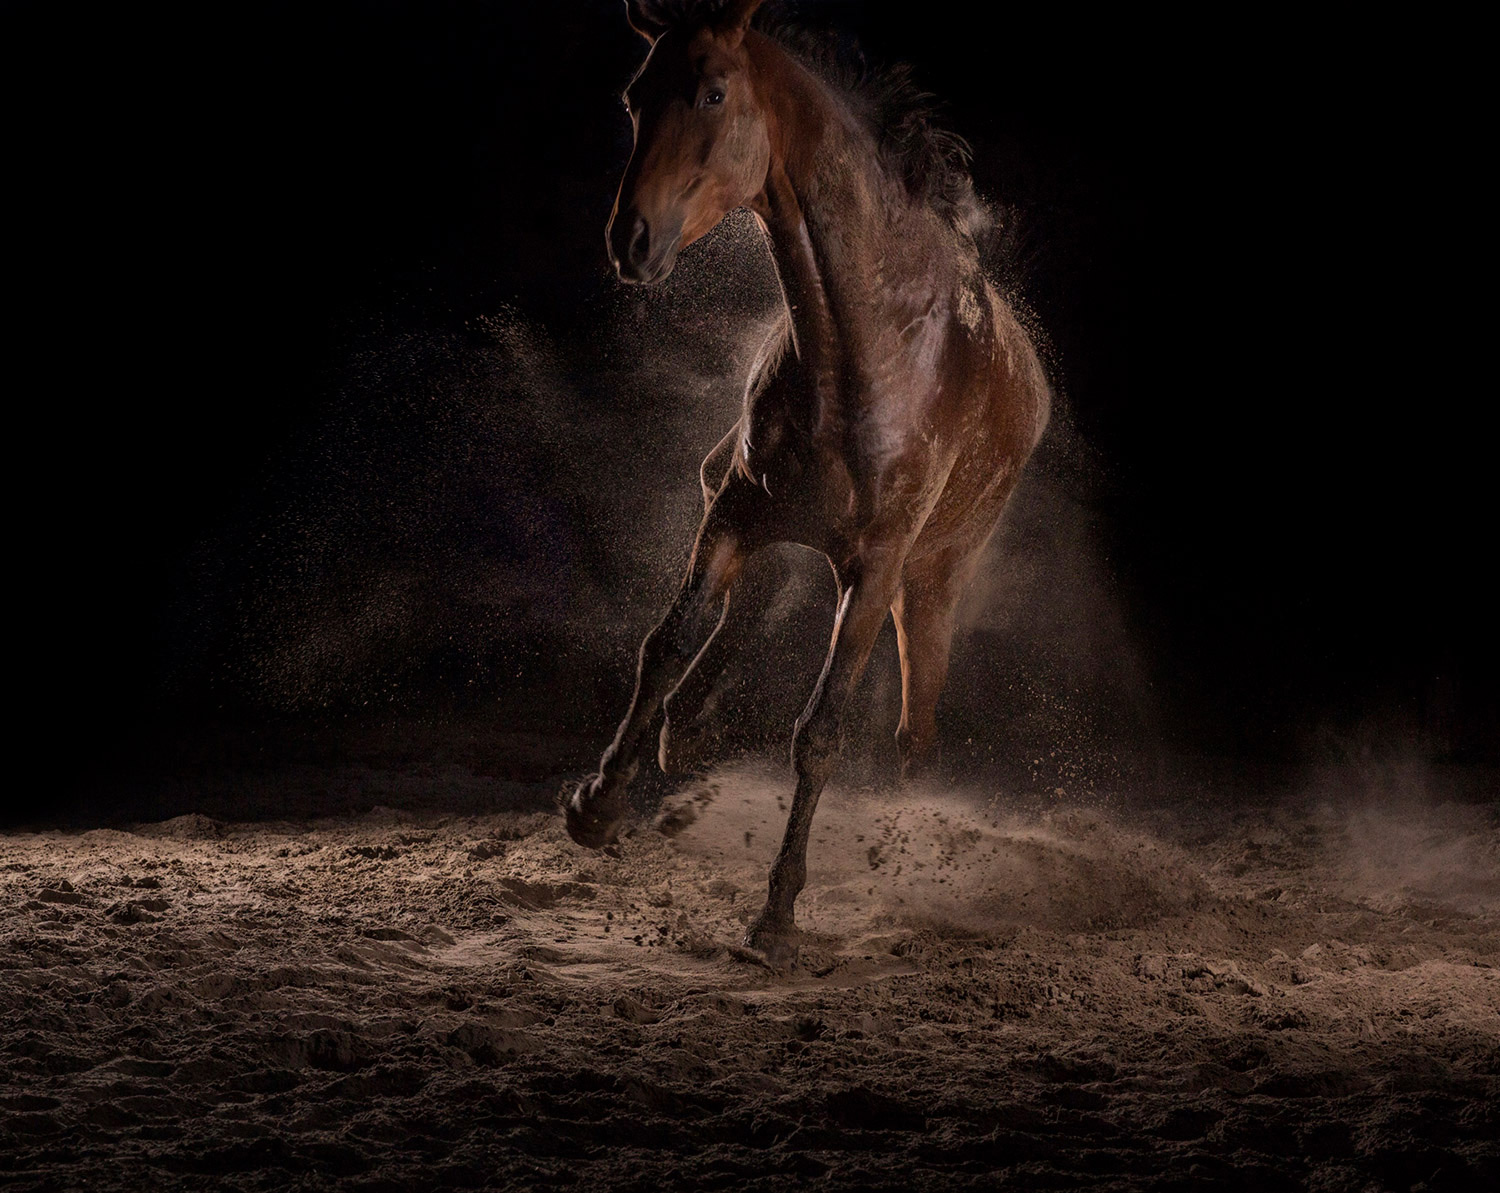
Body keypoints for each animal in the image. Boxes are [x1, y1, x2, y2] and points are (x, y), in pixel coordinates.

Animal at [564, 0, 1051, 967]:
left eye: (714, 92)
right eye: (635, 96)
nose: (631, 242)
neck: (869, 344)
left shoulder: (876, 567)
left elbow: (820, 731)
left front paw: (778, 913)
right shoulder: (734, 508)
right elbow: (667, 640)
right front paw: (598, 802)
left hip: (928, 586)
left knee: (914, 730)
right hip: (777, 524)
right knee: (745, 614)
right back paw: (687, 729)